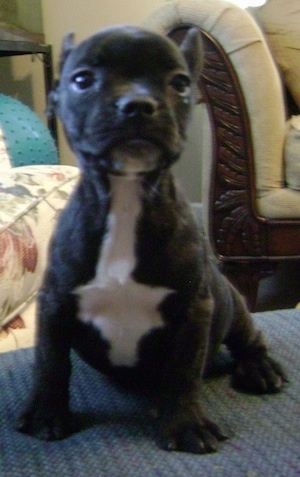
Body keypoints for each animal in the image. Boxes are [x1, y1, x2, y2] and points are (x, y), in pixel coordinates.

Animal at [17, 26, 288, 454]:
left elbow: (182, 371)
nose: (137, 104)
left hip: (231, 302)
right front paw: (47, 413)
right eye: (82, 80)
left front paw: (185, 422)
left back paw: (260, 368)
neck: (126, 197)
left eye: (180, 83)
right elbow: (51, 363)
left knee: (248, 338)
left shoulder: (193, 309)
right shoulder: (55, 304)